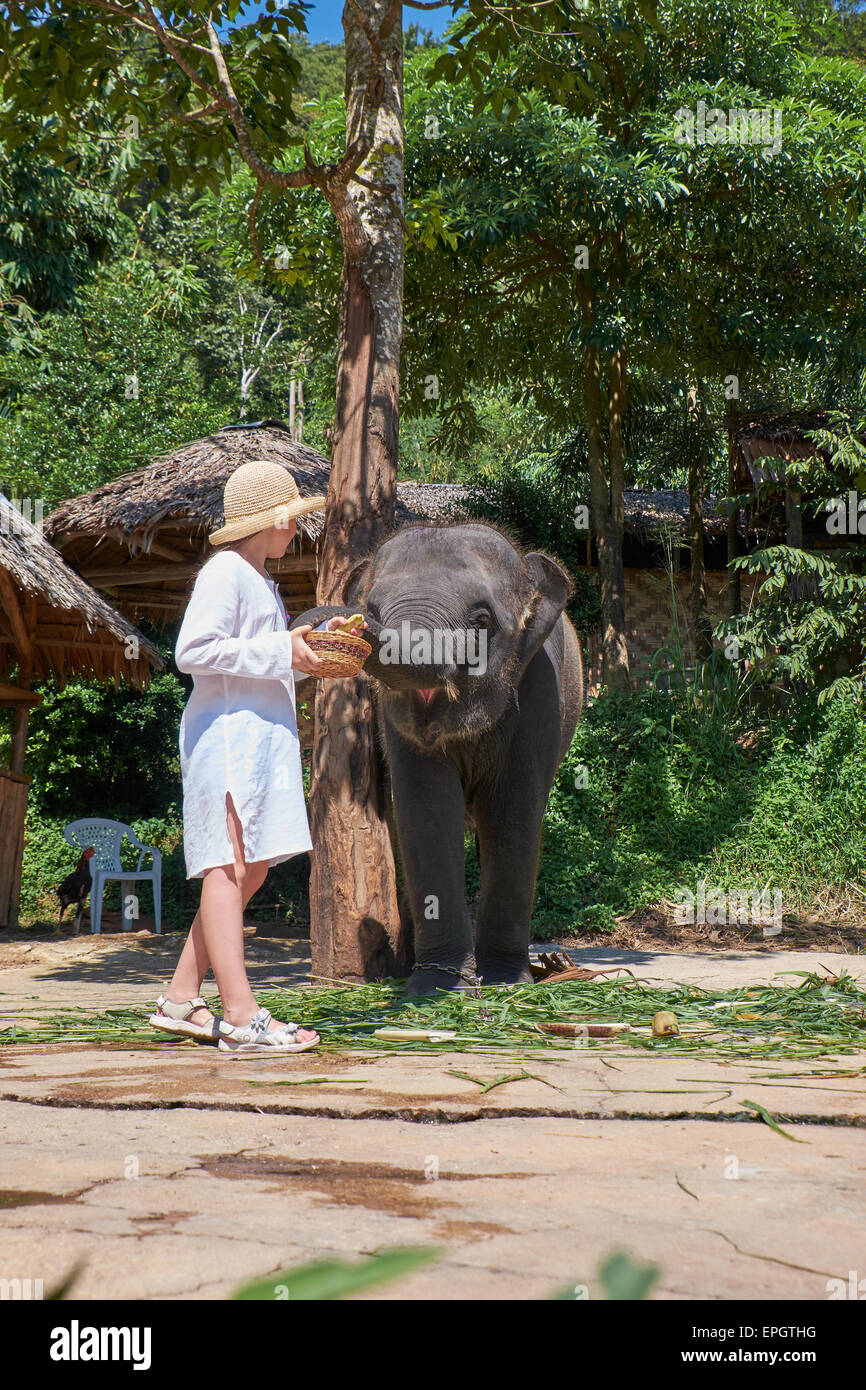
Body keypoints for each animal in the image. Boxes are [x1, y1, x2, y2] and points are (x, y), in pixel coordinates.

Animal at [292, 521, 584, 995]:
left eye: (481, 621)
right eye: (372, 608)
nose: (341, 620)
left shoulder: (540, 689)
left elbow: (514, 814)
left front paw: (505, 984)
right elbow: (426, 811)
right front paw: (437, 987)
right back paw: (407, 967)